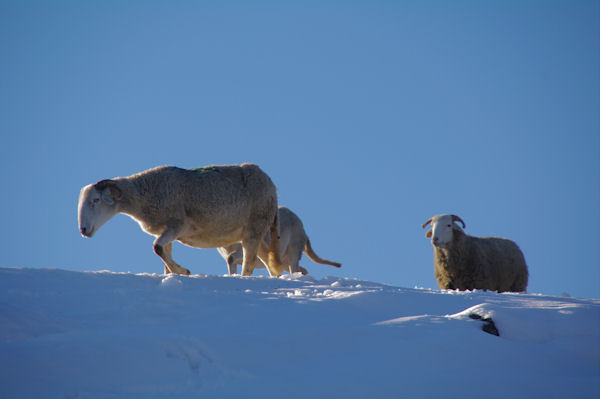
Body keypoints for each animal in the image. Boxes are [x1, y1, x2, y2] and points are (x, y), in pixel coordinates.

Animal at [78, 164, 282, 276]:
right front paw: (172, 274)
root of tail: (270, 183)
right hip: (257, 235)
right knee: (268, 264)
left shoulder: (177, 225)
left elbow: (156, 247)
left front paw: (183, 271)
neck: (143, 194)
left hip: (254, 230)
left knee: (249, 265)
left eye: (95, 200)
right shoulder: (165, 231)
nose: (83, 230)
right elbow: (162, 251)